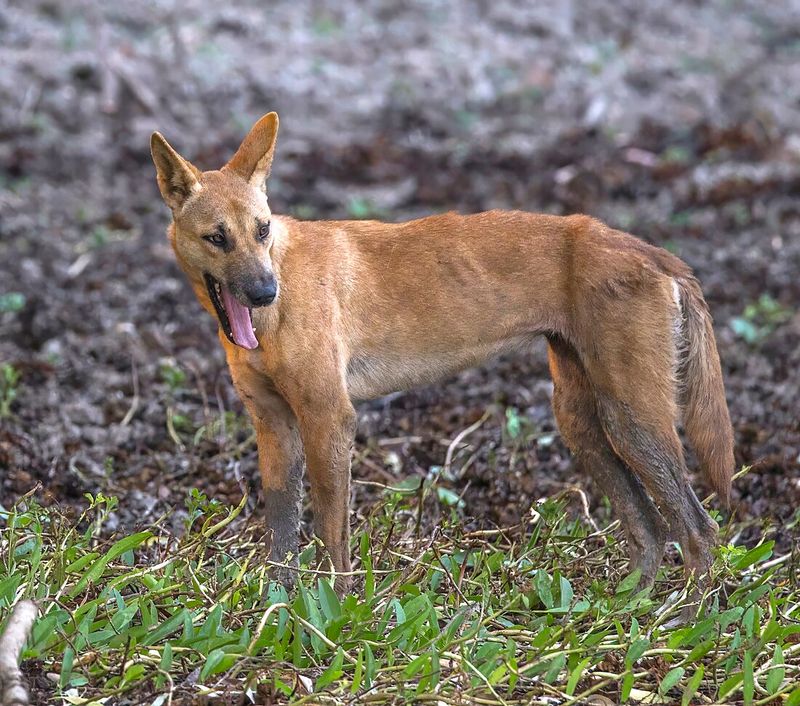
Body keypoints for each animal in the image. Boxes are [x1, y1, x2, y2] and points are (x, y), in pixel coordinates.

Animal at [150, 111, 732, 592]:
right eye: (217, 238)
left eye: (262, 230)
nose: (266, 291)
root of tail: (652, 252)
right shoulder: (274, 425)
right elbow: (281, 539)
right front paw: (277, 609)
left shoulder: (329, 417)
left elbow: (332, 537)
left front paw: (335, 611)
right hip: (583, 422)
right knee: (652, 531)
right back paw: (627, 617)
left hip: (631, 419)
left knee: (699, 530)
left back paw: (683, 622)